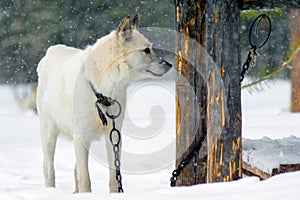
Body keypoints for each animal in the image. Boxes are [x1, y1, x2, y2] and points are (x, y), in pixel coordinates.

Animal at [36, 14, 171, 192]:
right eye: (146, 50)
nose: (170, 65)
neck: (102, 92)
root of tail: (52, 51)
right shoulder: (81, 136)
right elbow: (85, 178)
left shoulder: (114, 135)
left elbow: (114, 177)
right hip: (49, 134)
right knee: (48, 169)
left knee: (74, 169)